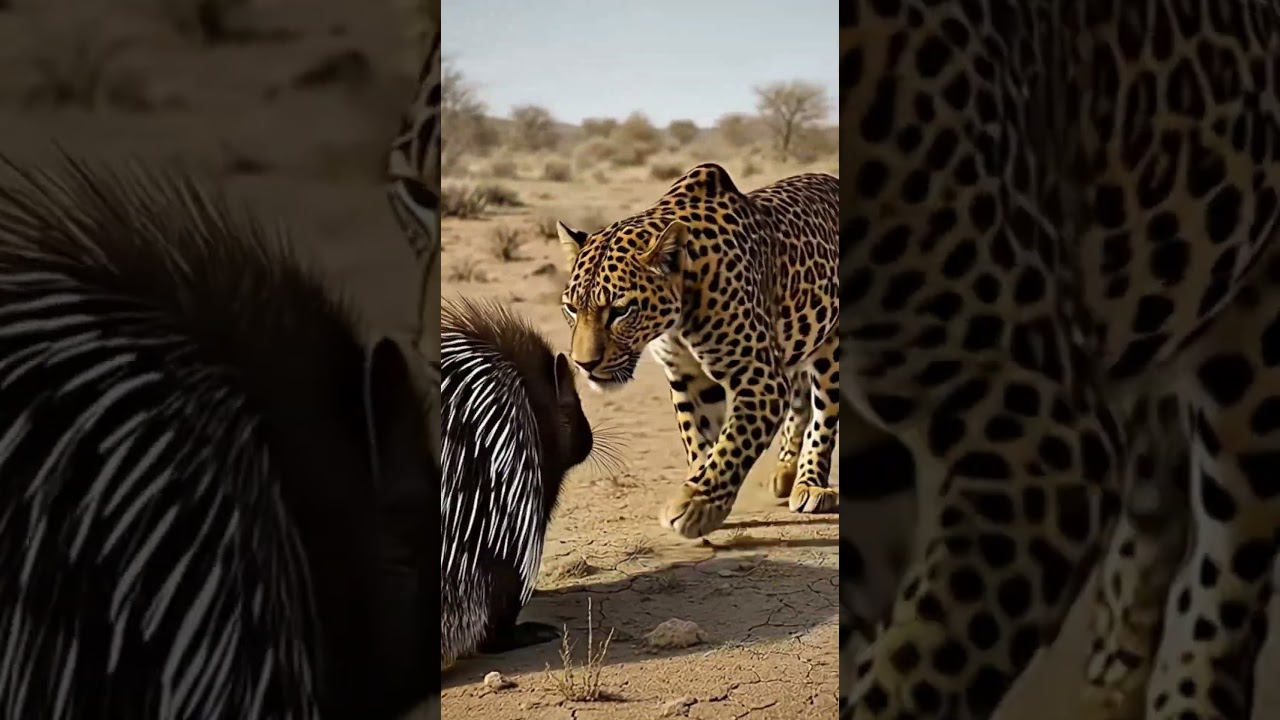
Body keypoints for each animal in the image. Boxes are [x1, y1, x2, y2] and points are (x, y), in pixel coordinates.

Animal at [555, 163, 840, 539]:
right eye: (572, 308)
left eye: (620, 310)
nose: (584, 363)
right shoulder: (685, 376)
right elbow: (700, 438)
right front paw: (702, 495)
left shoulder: (760, 378)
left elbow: (734, 443)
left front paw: (694, 505)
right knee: (799, 400)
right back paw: (785, 472)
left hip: (830, 347)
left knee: (824, 414)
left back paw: (811, 484)